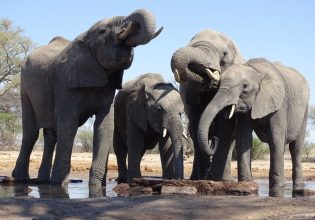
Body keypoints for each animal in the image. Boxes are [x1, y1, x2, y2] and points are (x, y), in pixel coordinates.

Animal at [12, 8, 163, 186]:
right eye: (103, 31)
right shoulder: (64, 84)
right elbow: (68, 126)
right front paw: (59, 185)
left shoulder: (108, 88)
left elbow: (104, 127)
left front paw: (97, 186)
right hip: (25, 88)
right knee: (30, 133)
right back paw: (22, 179)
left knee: (50, 135)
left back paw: (43, 181)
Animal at [172, 28, 246, 180]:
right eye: (190, 45)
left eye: (224, 54)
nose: (214, 141)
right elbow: (196, 122)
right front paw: (204, 178)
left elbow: (225, 126)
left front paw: (215, 179)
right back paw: (196, 177)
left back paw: (223, 178)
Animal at [199, 58, 310, 196]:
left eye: (245, 86)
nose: (214, 139)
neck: (257, 72)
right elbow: (244, 138)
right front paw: (246, 185)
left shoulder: (280, 103)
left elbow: (276, 139)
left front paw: (277, 188)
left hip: (304, 110)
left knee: (296, 148)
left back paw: (298, 188)